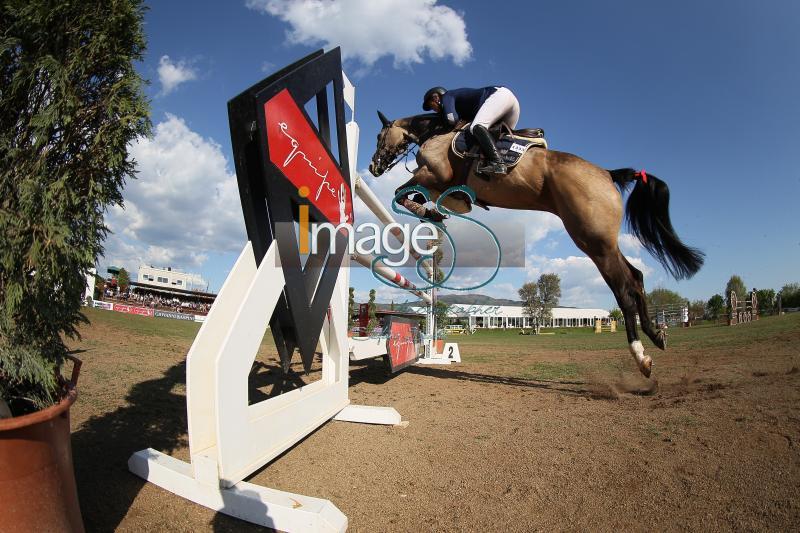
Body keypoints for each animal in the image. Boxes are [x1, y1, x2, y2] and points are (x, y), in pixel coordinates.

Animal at [366, 111, 704, 378]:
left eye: (380, 135)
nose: (373, 167)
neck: (437, 132)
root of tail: (608, 174)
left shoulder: (434, 173)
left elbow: (402, 192)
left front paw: (428, 211)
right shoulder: (438, 183)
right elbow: (417, 195)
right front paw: (433, 212)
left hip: (593, 241)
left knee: (623, 288)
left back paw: (641, 356)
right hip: (604, 242)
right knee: (636, 277)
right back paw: (656, 336)